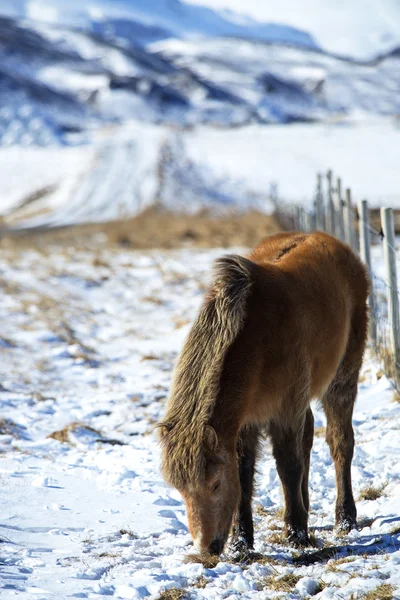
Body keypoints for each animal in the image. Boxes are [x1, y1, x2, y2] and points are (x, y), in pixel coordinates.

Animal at [159, 232, 368, 556]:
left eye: (215, 484)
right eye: (180, 491)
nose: (207, 549)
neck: (258, 340)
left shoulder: (285, 411)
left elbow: (288, 466)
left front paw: (297, 535)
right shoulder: (247, 420)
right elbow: (245, 475)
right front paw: (242, 543)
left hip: (342, 380)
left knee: (340, 443)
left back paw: (344, 518)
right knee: (309, 436)